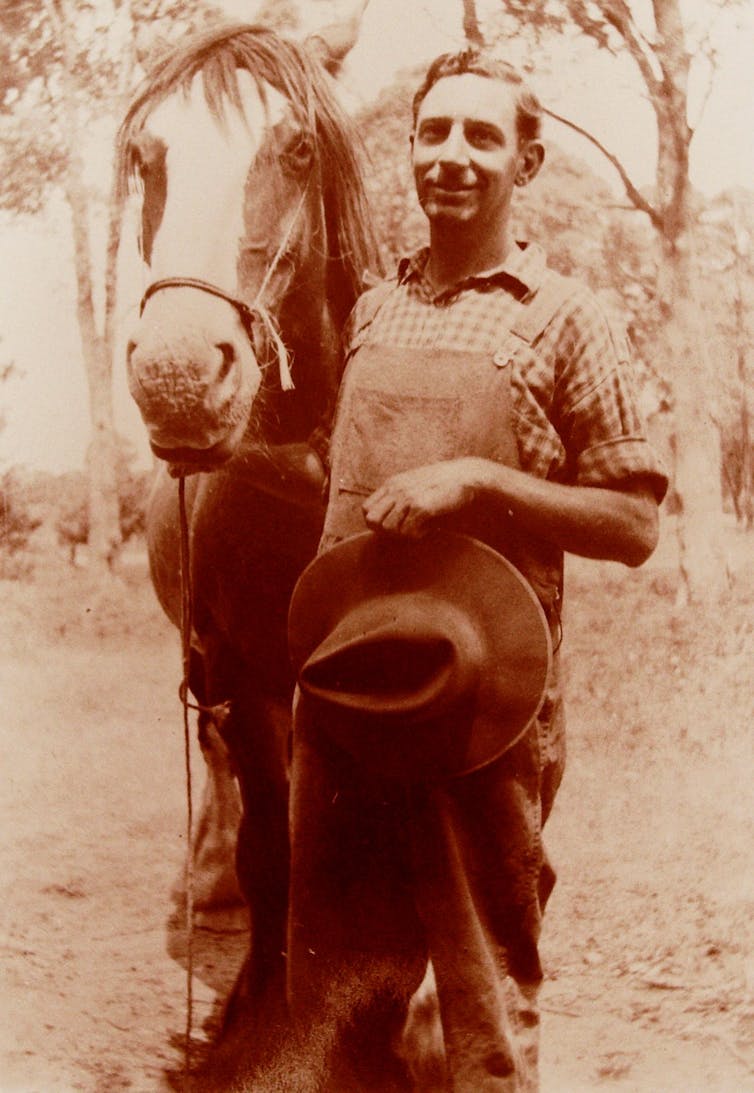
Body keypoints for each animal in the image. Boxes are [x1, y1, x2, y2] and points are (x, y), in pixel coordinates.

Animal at [117, 19, 382, 1075]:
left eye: (299, 149)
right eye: (148, 158)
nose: (180, 377)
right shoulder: (247, 675)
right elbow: (272, 840)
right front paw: (254, 1010)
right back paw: (211, 894)